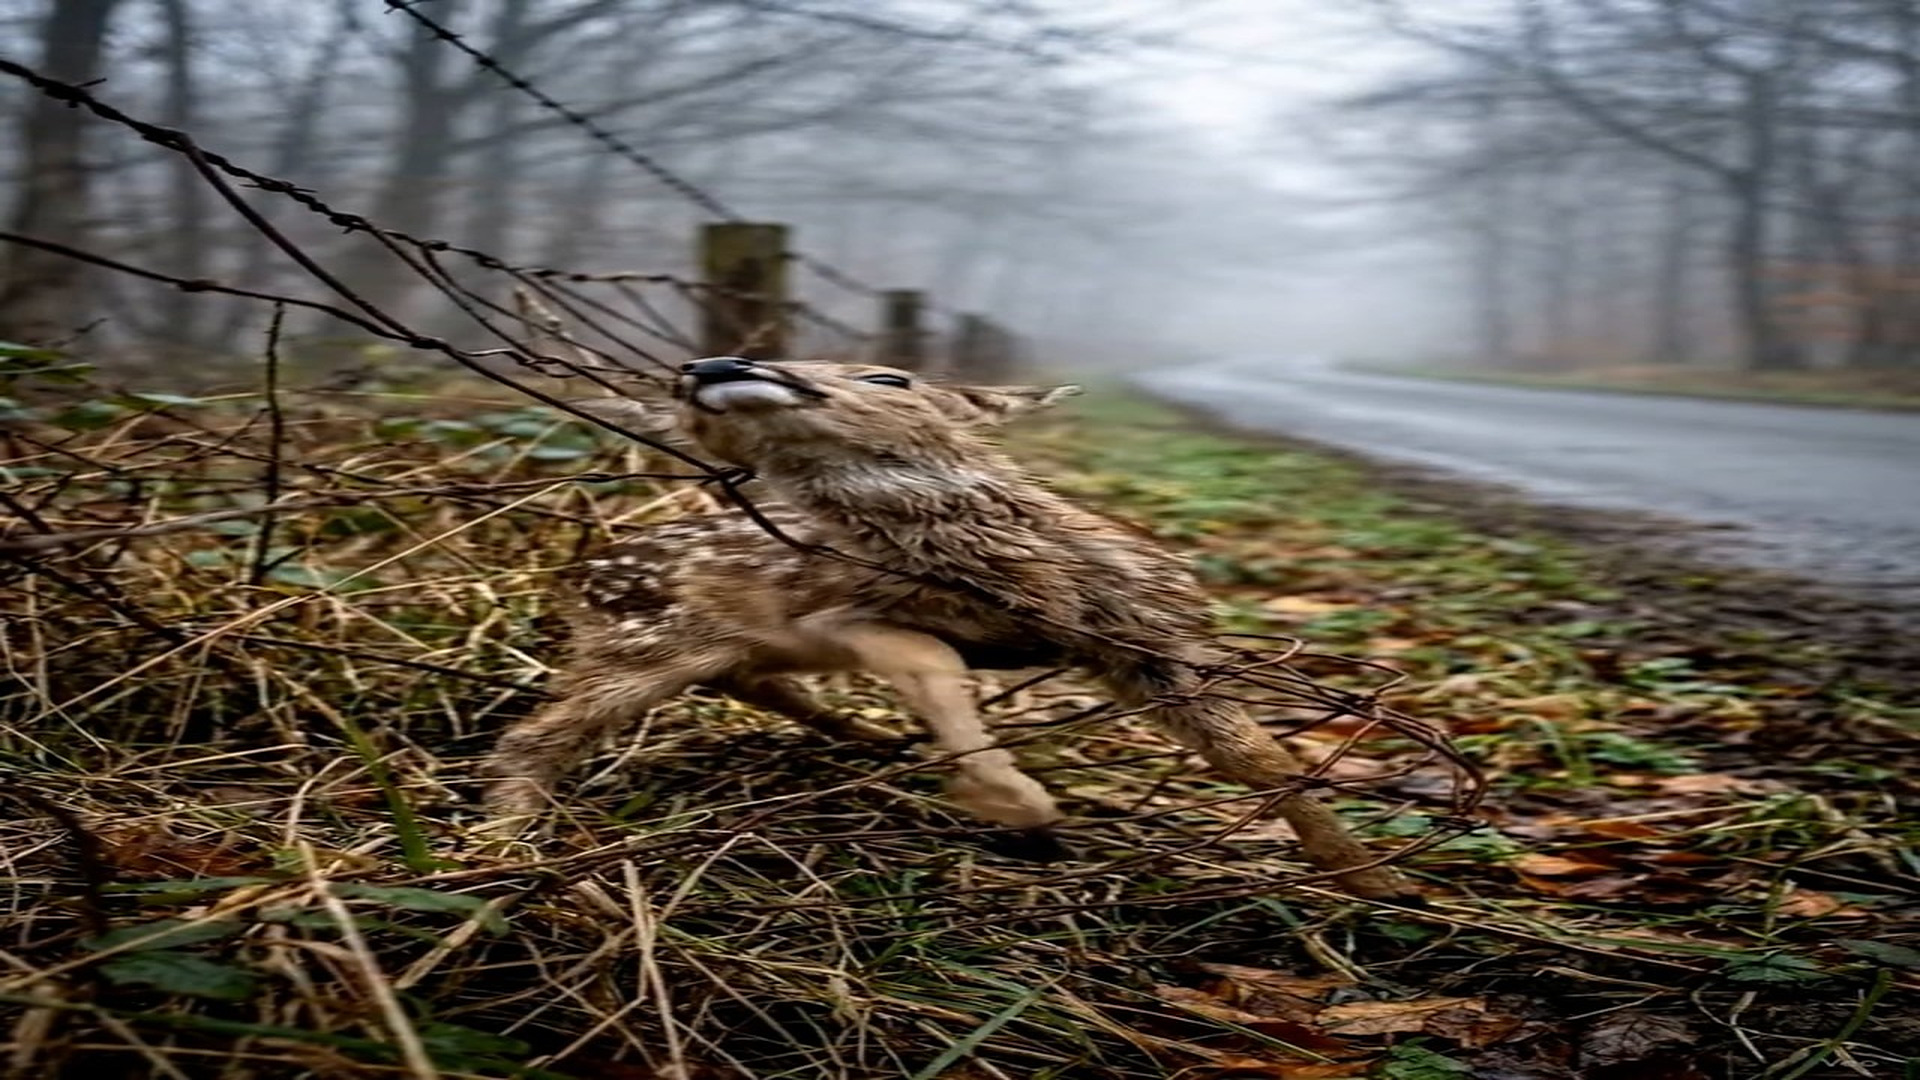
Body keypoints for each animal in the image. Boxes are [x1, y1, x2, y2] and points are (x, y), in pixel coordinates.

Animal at [480, 355, 1410, 900]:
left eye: (890, 378)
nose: (714, 363)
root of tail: (572, 573)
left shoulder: (1153, 638)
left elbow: (1259, 757)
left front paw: (1372, 879)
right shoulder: (849, 610)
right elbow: (934, 663)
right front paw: (1016, 803)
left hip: (688, 644)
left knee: (747, 678)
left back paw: (863, 737)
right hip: (642, 642)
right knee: (537, 734)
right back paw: (501, 843)